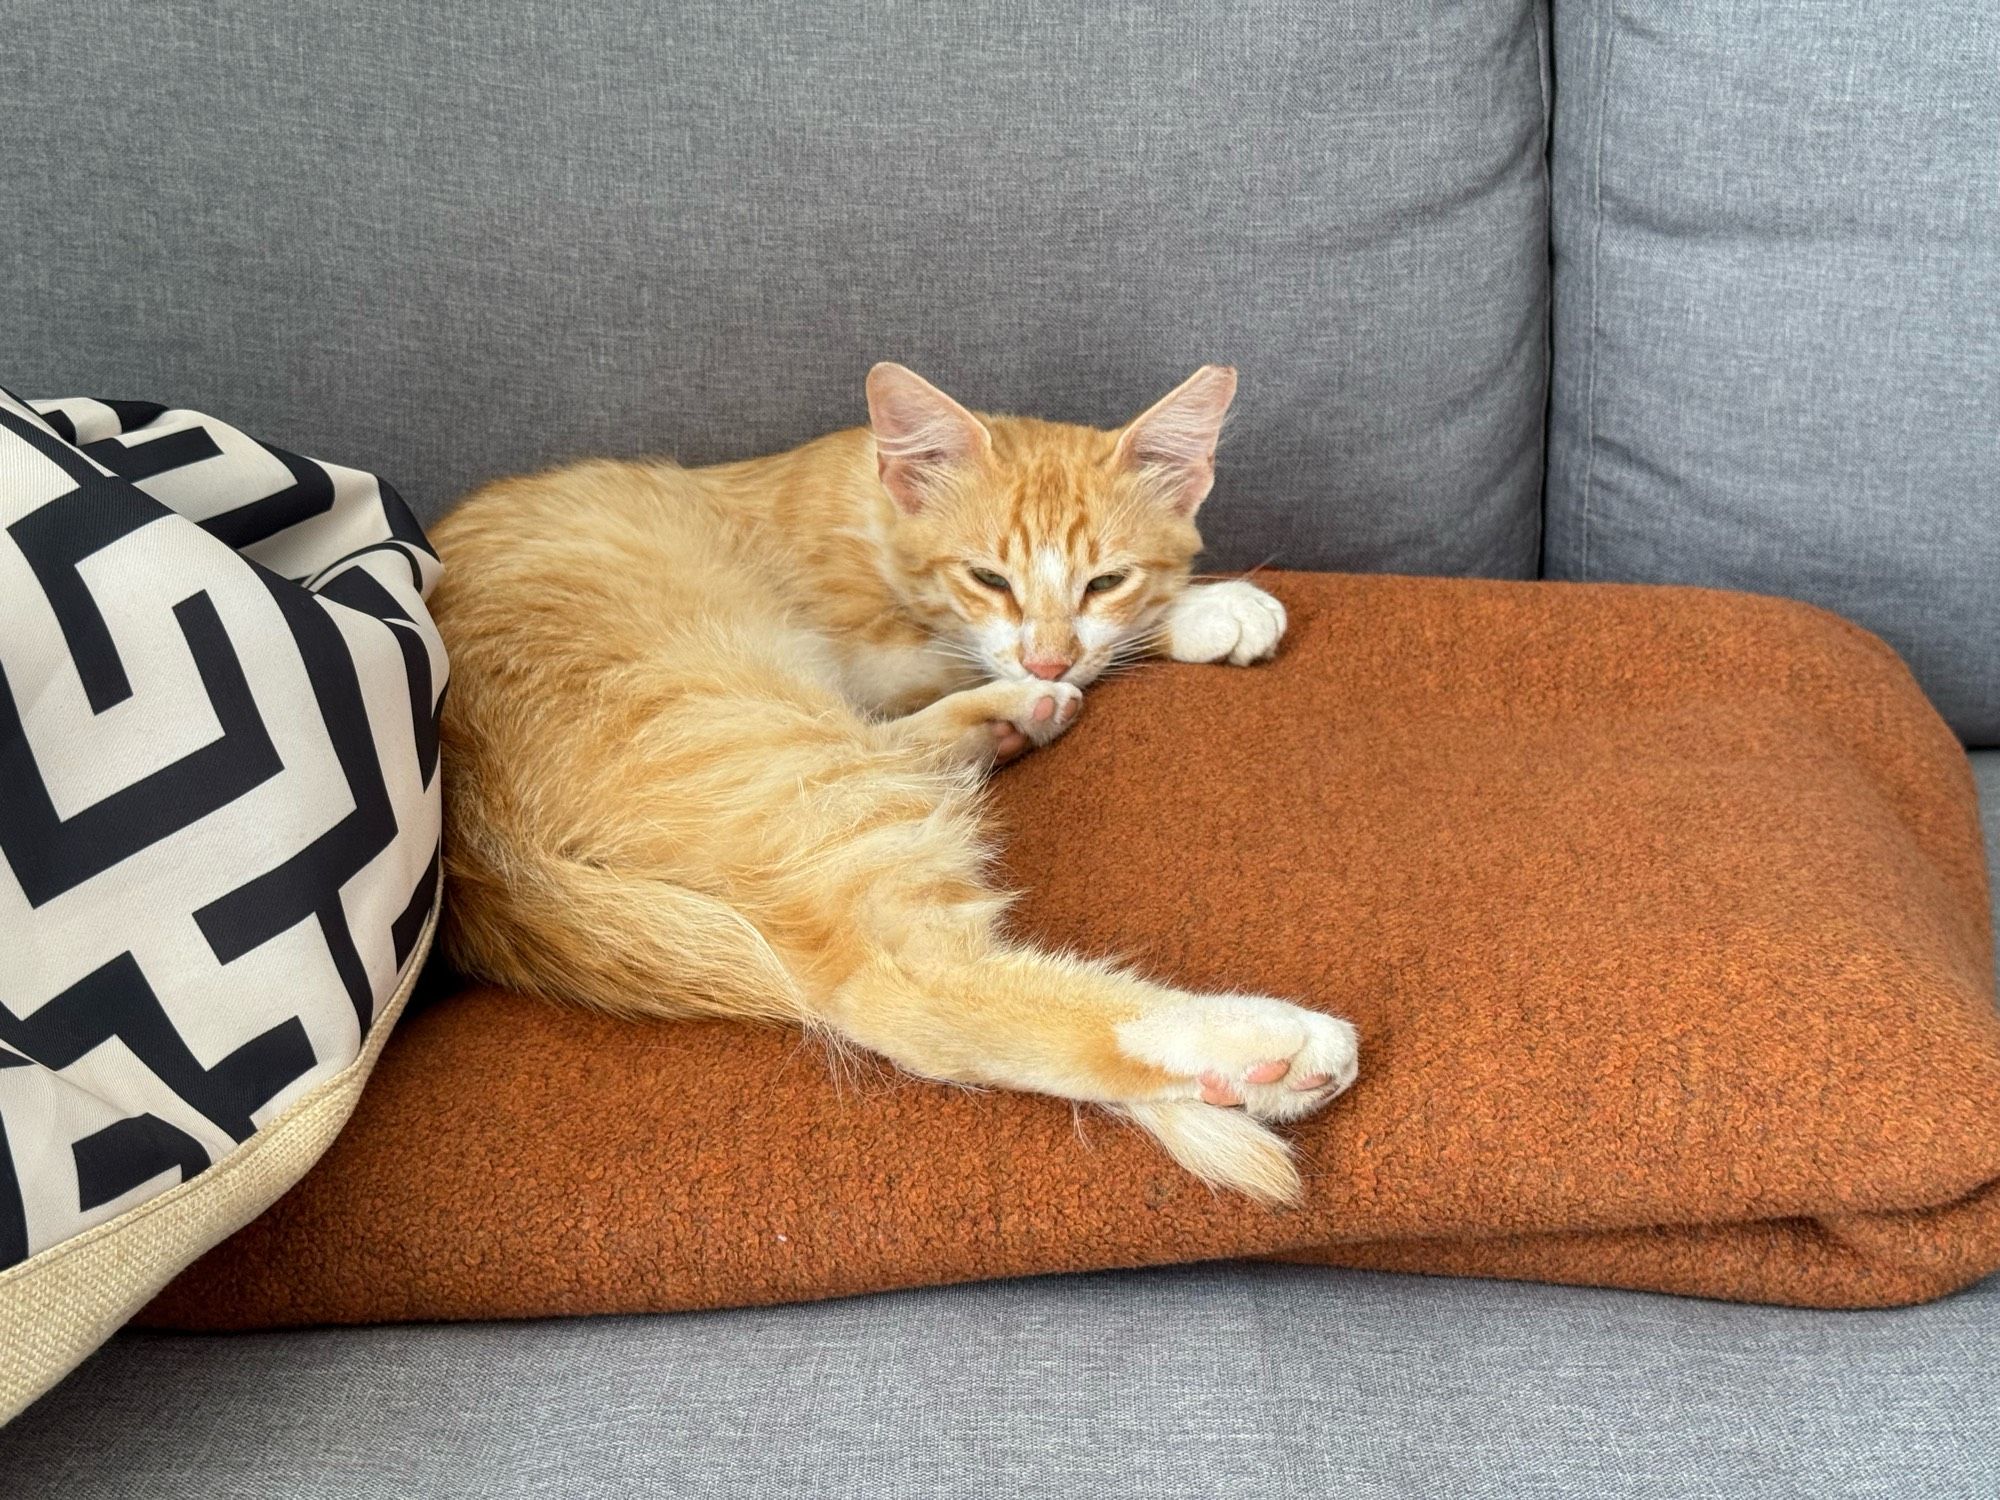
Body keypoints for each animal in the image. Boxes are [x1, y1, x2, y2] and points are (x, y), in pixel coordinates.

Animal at [426, 368, 1360, 1208]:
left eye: (1104, 580)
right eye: (989, 578)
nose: (1047, 660)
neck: (875, 508)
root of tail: (479, 851)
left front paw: (1155, 625)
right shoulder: (873, 647)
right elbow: (962, 650)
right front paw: (1206, 608)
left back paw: (1010, 719)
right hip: (766, 736)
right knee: (909, 990)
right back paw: (1264, 1047)